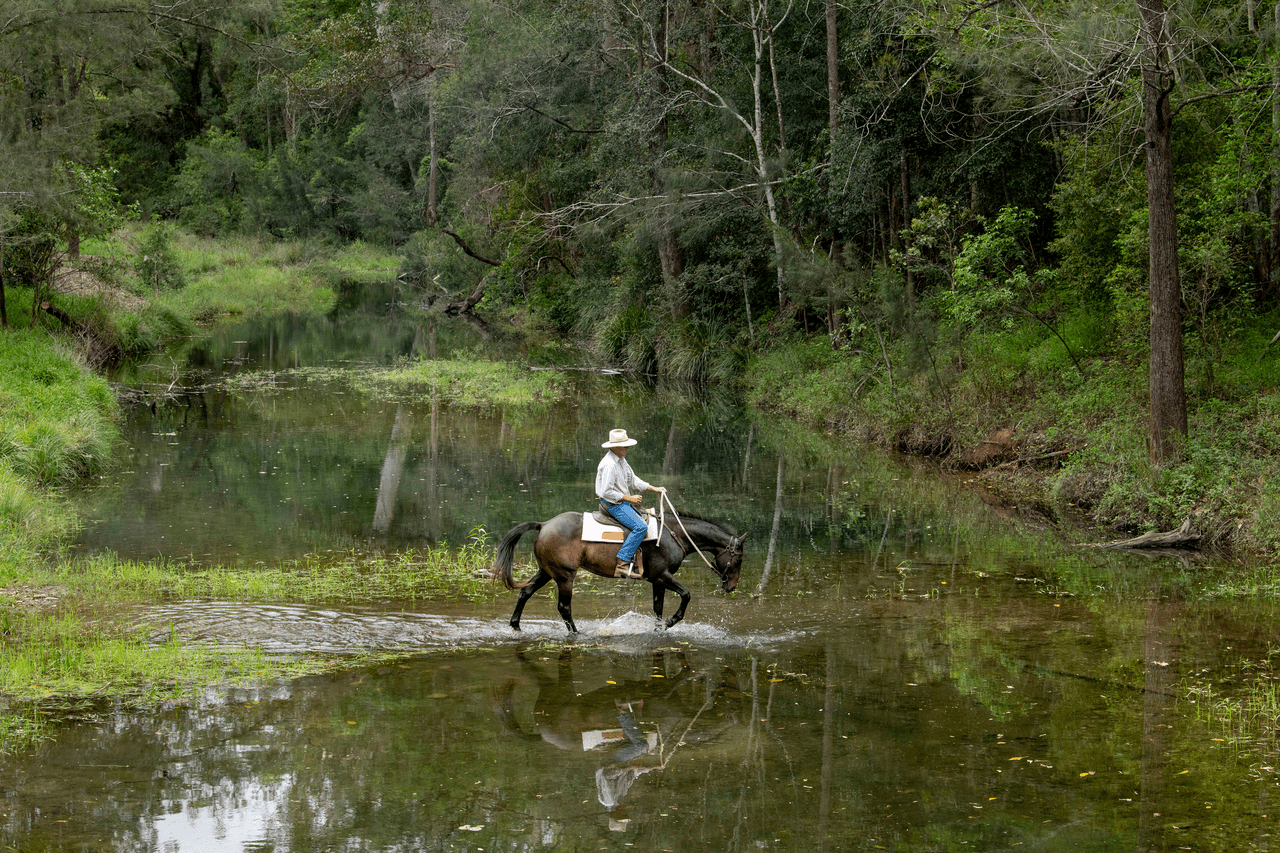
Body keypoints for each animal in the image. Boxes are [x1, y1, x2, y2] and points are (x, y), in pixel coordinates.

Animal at [494, 504, 747, 630]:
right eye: (739, 559)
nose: (732, 586)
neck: (673, 534)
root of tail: (544, 524)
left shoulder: (657, 580)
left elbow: (657, 608)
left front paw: (659, 629)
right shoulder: (662, 576)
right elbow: (686, 595)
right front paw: (670, 622)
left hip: (547, 572)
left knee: (525, 592)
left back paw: (515, 625)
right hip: (565, 576)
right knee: (564, 607)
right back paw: (576, 633)